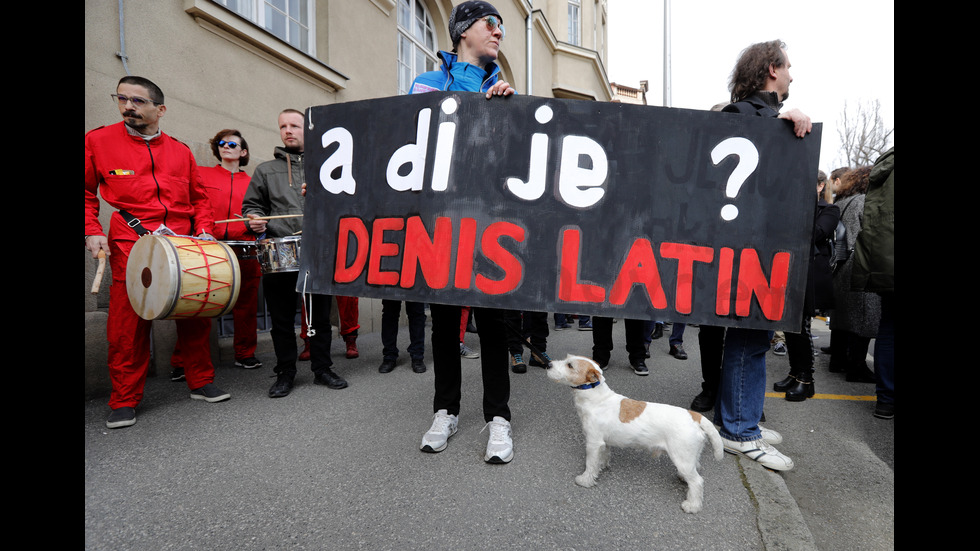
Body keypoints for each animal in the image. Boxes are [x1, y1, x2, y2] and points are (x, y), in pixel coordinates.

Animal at [548, 354, 724, 512]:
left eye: (570, 365)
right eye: (566, 359)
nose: (548, 364)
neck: (597, 398)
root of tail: (695, 416)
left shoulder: (593, 442)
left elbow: (590, 464)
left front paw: (585, 480)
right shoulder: (602, 443)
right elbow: (603, 456)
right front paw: (601, 466)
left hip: (682, 458)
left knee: (697, 482)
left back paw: (692, 505)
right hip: (689, 457)